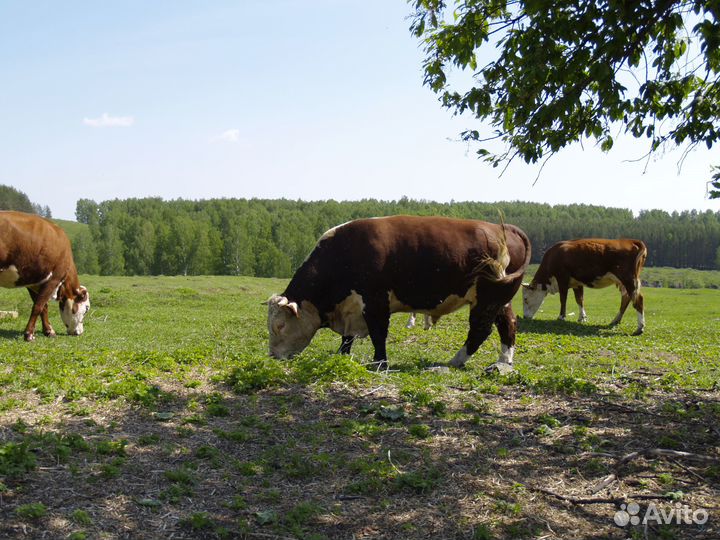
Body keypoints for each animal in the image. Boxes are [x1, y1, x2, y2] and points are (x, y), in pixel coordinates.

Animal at [0, 212, 91, 342]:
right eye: (86, 309)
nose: (80, 332)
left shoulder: (34, 283)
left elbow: (43, 307)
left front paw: (49, 331)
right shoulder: (53, 279)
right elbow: (38, 306)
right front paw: (29, 335)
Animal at [268, 215, 532, 372]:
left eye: (280, 325)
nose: (272, 357)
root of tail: (503, 228)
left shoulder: (375, 303)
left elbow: (378, 334)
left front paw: (380, 362)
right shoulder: (352, 308)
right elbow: (347, 338)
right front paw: (341, 356)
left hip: (487, 299)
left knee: (480, 330)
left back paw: (456, 360)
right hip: (500, 301)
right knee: (508, 324)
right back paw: (504, 361)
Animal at [520, 239, 648, 336]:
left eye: (525, 299)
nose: (525, 317)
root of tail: (631, 241)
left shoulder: (562, 279)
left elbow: (563, 299)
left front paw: (561, 317)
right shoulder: (577, 283)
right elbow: (579, 300)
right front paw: (582, 318)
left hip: (629, 280)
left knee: (638, 299)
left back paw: (639, 328)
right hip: (623, 282)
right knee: (626, 298)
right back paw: (615, 321)